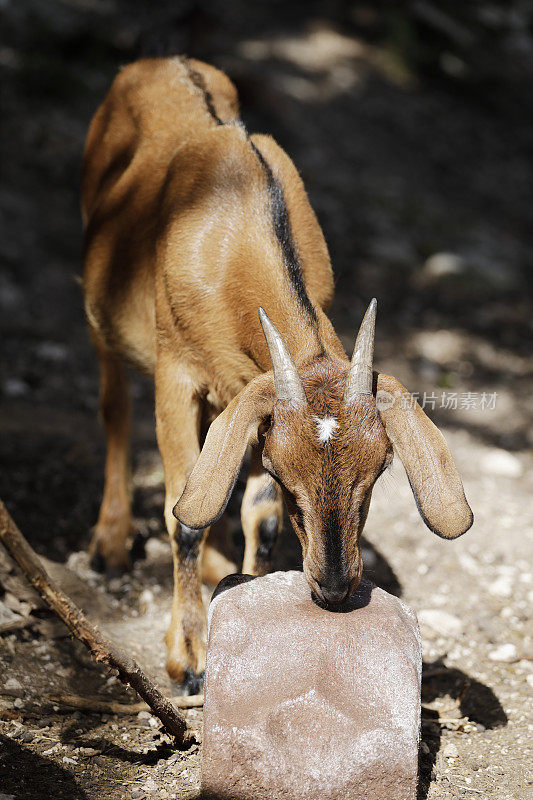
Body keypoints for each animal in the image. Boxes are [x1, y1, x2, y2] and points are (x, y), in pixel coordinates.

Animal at [81, 56, 472, 692]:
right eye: (286, 475)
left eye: (378, 472)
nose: (335, 589)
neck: (233, 239)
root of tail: (159, 60)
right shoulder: (176, 372)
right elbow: (182, 514)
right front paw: (189, 656)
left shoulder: (248, 393)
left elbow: (256, 516)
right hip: (102, 320)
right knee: (114, 408)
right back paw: (111, 541)